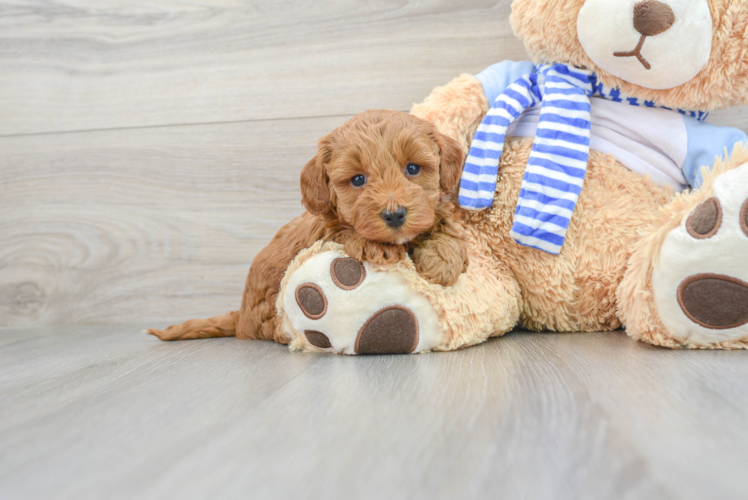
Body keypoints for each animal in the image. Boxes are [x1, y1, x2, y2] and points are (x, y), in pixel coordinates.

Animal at [148, 109, 468, 344]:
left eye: (413, 168)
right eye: (358, 179)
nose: (394, 215)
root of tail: (240, 316)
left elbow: (442, 221)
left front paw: (443, 259)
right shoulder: (325, 227)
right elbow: (344, 229)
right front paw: (374, 246)